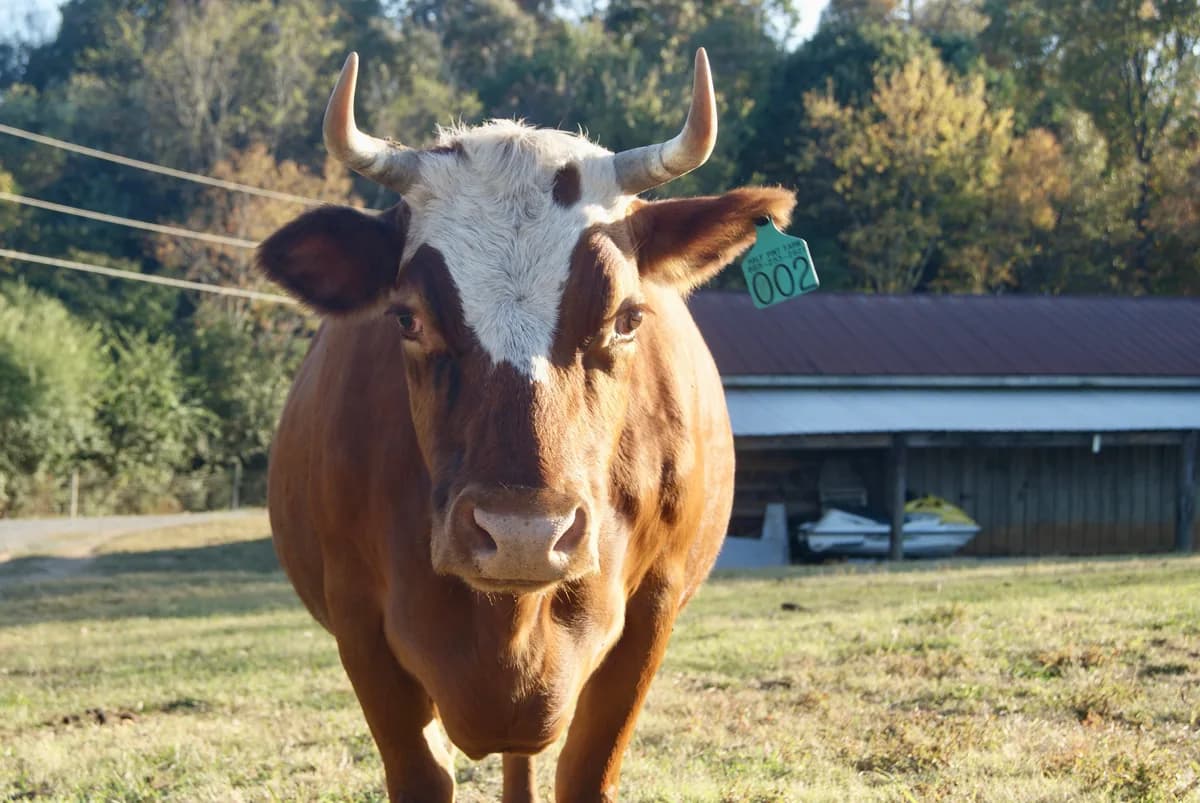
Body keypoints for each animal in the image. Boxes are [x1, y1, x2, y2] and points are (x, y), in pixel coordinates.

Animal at [257, 48, 795, 802]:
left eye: (627, 317)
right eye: (407, 317)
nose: (523, 536)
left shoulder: (651, 613)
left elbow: (586, 772)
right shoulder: (360, 624)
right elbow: (422, 775)